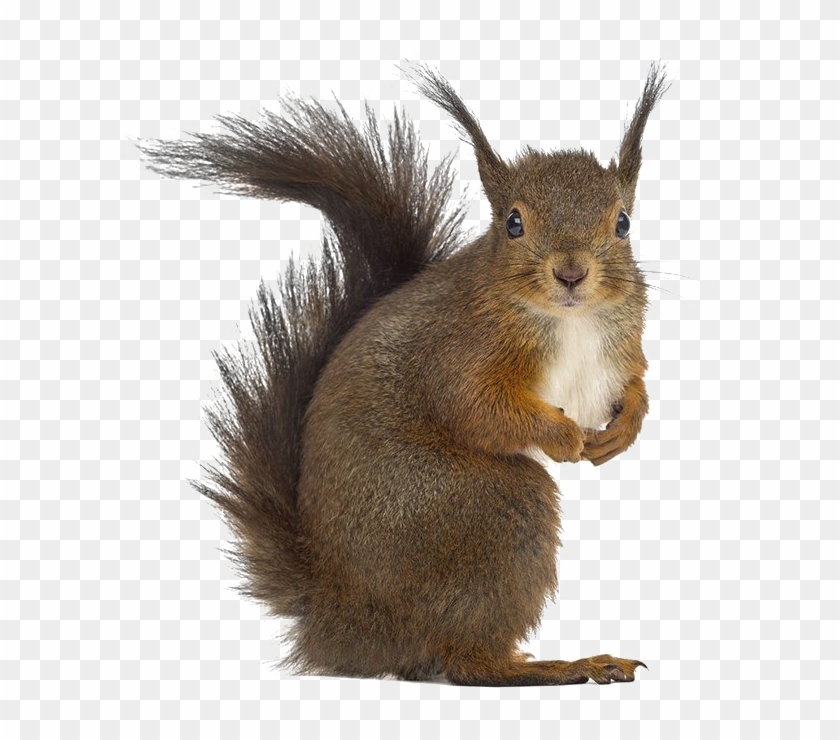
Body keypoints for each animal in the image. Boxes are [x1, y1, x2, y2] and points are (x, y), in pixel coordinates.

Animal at [140, 64, 668, 686]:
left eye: (623, 222)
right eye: (513, 223)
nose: (571, 273)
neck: (570, 320)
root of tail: (343, 618)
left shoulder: (623, 345)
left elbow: (635, 385)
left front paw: (624, 429)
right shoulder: (460, 350)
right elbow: (476, 409)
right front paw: (563, 436)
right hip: (485, 508)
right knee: (467, 663)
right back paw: (561, 665)